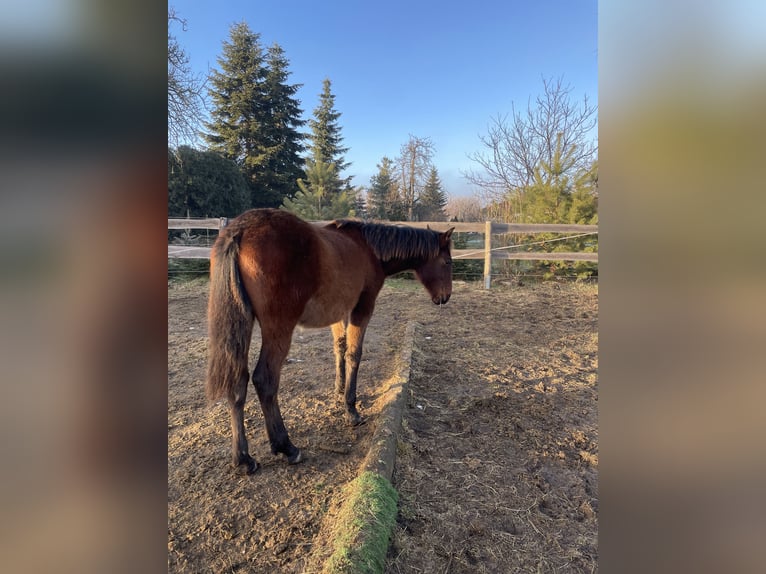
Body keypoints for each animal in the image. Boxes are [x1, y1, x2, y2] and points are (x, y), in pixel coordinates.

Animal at [207, 209, 452, 474]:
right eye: (448, 262)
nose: (445, 297)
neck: (368, 248)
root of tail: (240, 230)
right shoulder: (362, 308)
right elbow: (354, 353)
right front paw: (351, 409)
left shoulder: (339, 312)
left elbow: (340, 348)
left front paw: (339, 388)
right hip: (278, 329)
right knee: (265, 380)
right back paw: (286, 447)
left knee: (238, 382)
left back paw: (243, 458)